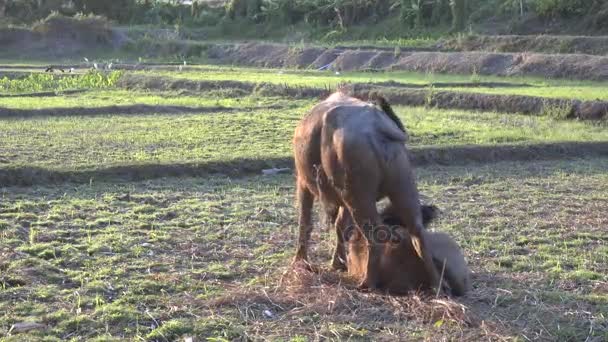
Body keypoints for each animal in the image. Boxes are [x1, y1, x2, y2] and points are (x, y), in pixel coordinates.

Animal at [292, 89, 440, 290]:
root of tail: (377, 126)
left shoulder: (303, 183)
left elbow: (305, 222)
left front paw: (300, 261)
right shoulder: (343, 199)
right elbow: (340, 226)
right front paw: (338, 263)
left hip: (359, 198)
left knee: (376, 236)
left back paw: (366, 283)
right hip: (402, 186)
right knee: (417, 232)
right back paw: (437, 284)